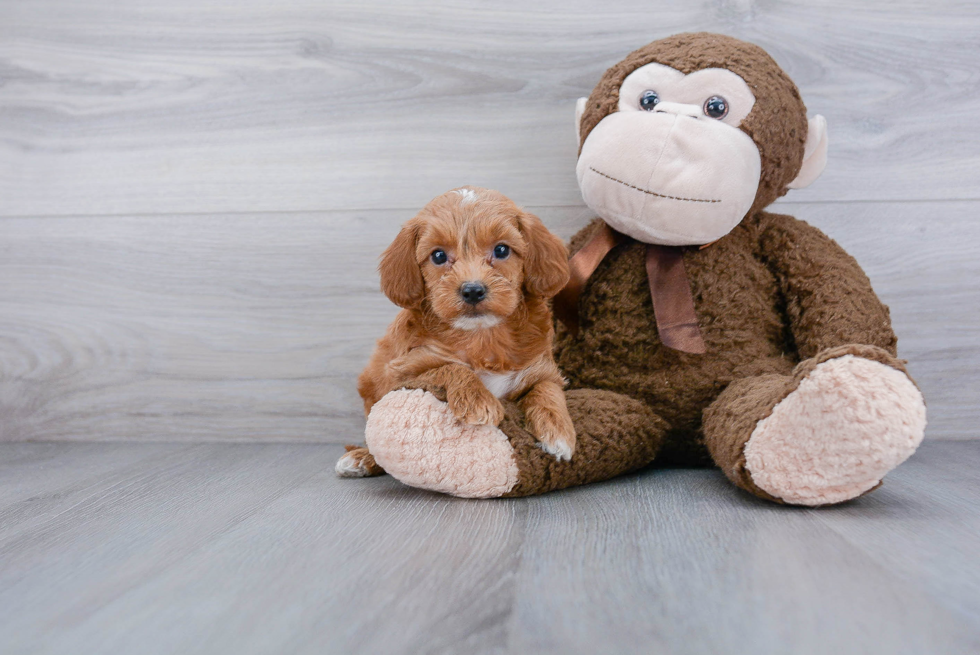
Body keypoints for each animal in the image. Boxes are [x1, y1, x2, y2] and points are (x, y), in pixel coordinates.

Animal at [334, 187, 576, 480]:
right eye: (438, 256)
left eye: (502, 250)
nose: (472, 290)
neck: (482, 337)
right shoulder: (402, 374)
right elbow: (450, 367)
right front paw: (478, 400)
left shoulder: (541, 368)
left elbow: (547, 389)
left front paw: (558, 431)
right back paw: (360, 458)